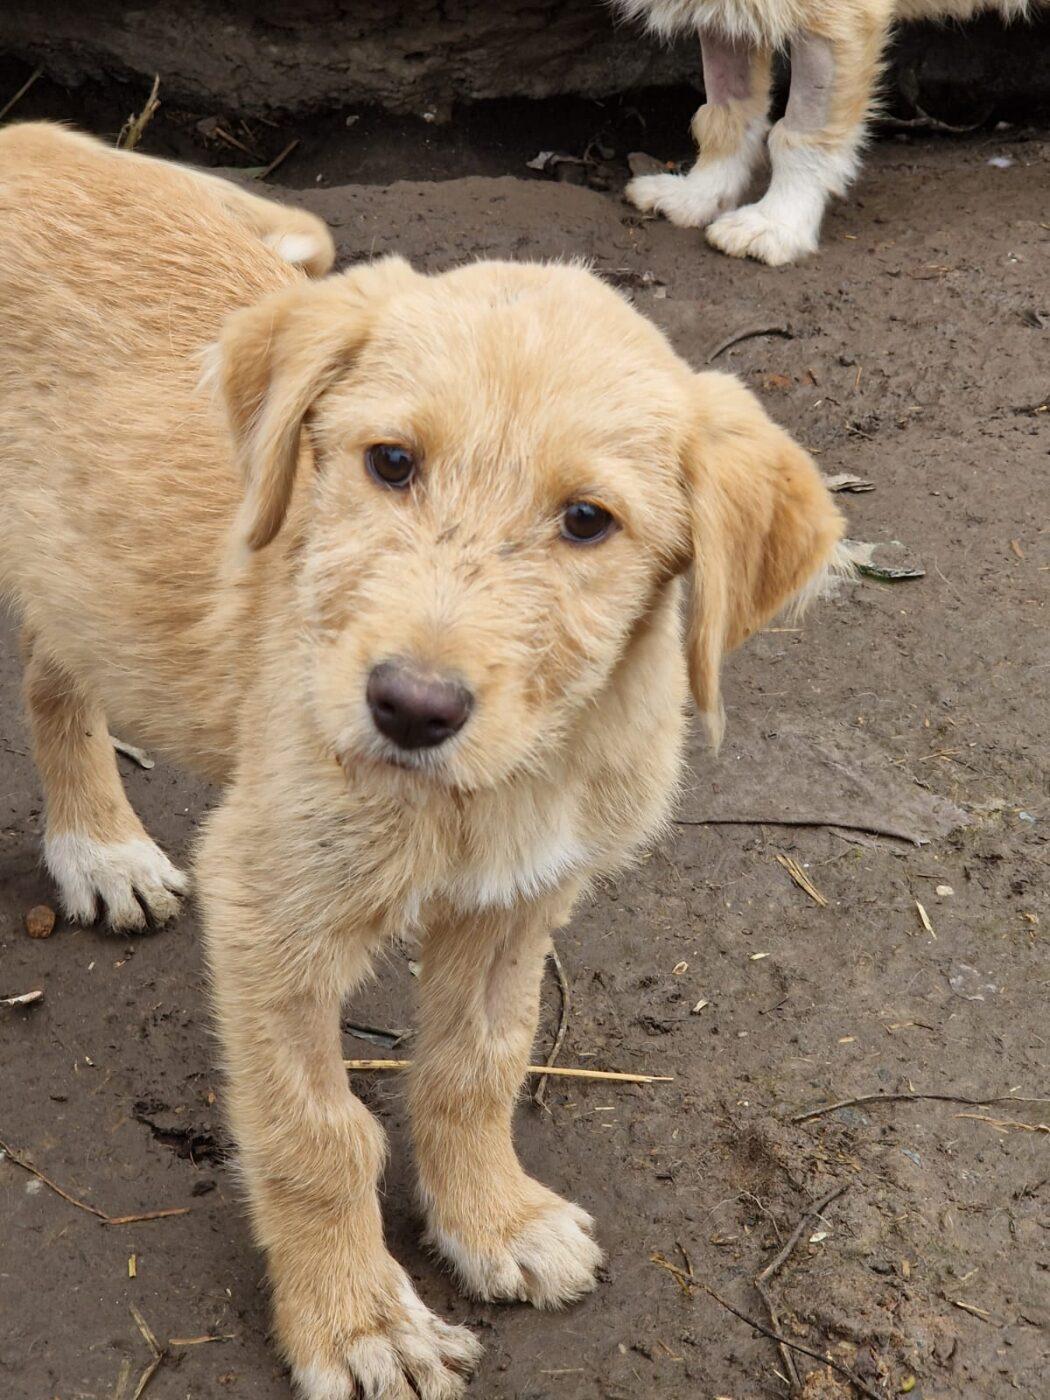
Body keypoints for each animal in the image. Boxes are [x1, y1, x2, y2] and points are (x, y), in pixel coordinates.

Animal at [0, 122, 845, 1398]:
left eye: (587, 521)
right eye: (390, 461)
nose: (410, 706)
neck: (506, 779)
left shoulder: (517, 903)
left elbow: (476, 1066)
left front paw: (491, 1218)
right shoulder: (273, 907)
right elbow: (316, 1132)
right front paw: (357, 1317)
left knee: (59, 668)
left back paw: (97, 842)